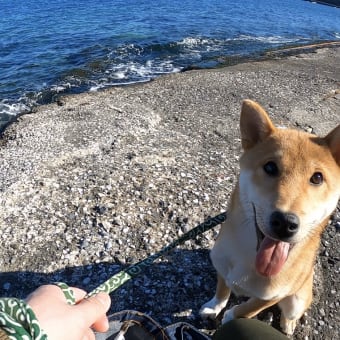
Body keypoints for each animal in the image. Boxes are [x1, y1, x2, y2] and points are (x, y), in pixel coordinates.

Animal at [199, 99, 340, 336]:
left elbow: (247, 309)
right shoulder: (222, 267)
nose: (285, 222)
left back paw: (288, 323)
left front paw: (230, 317)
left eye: (317, 178)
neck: (250, 258)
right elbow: (222, 291)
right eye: (270, 166)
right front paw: (213, 307)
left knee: (292, 311)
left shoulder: (271, 296)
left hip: (297, 298)